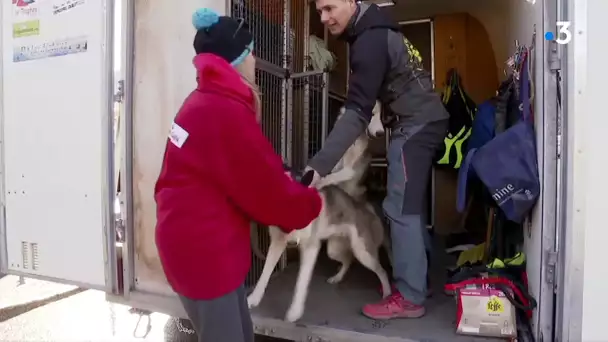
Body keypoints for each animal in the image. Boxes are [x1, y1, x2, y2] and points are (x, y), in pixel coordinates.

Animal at [247, 101, 390, 324]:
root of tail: (364, 208)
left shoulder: (311, 247)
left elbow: (301, 283)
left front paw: (294, 312)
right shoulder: (278, 243)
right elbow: (264, 274)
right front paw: (253, 299)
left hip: (363, 252)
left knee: (380, 270)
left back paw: (388, 293)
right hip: (334, 248)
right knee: (347, 259)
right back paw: (338, 277)